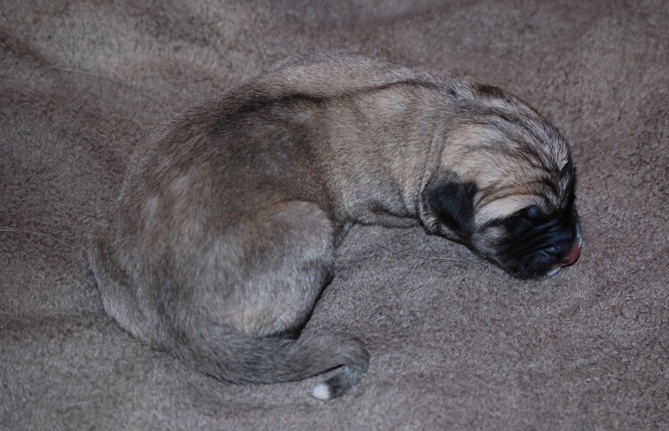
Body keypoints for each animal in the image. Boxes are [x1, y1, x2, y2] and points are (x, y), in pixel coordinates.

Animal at [87, 51, 582, 400]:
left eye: (569, 197)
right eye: (522, 220)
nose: (573, 249)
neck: (444, 114)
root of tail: (173, 315)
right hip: (308, 222)